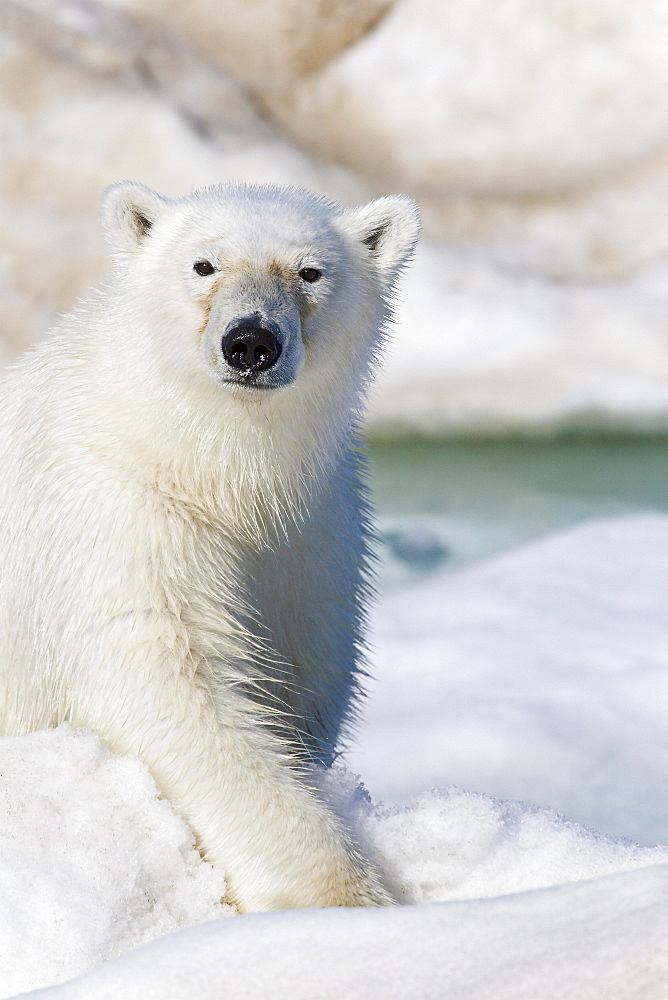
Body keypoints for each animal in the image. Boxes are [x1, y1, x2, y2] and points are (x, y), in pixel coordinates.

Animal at [0, 182, 420, 916]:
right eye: (203, 264)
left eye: (311, 270)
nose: (251, 342)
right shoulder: (116, 511)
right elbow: (174, 685)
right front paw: (344, 896)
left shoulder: (312, 536)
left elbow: (299, 680)